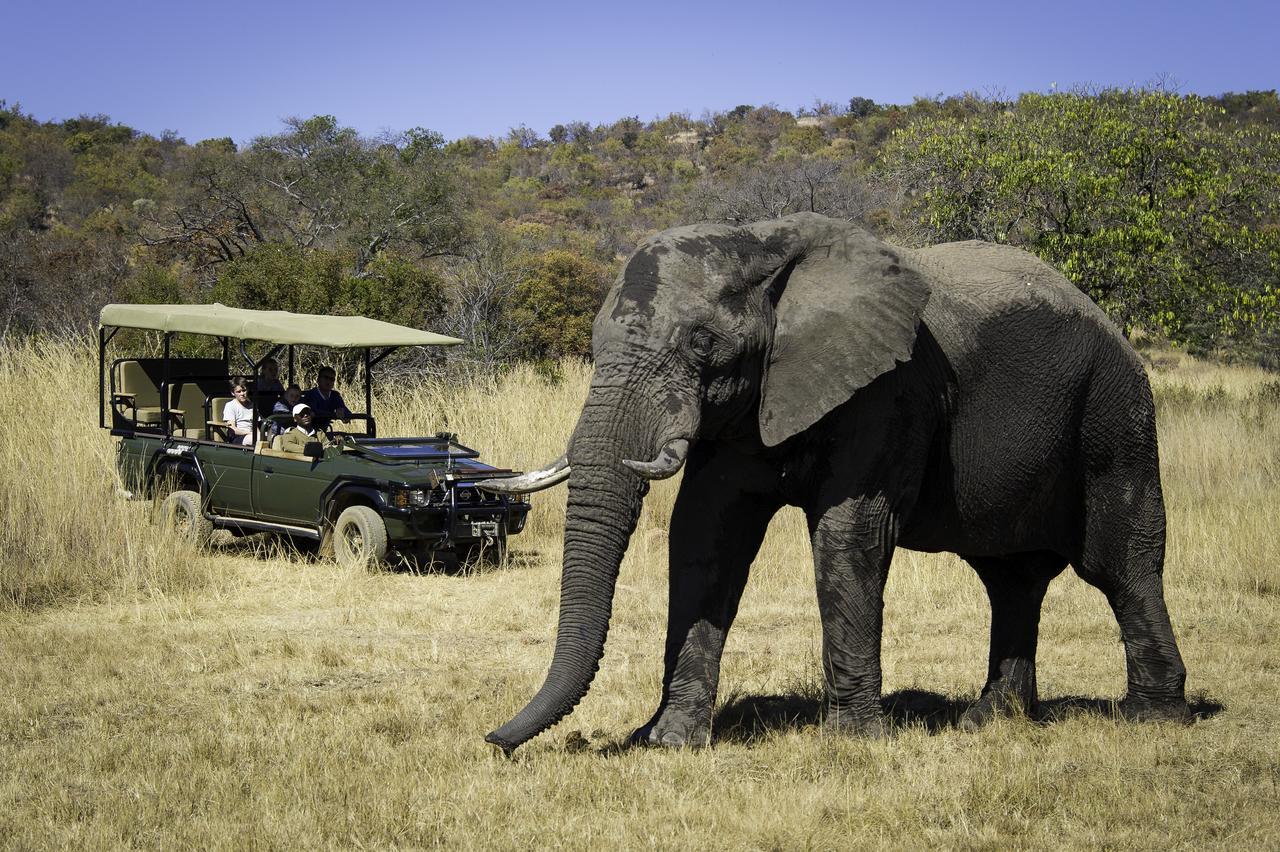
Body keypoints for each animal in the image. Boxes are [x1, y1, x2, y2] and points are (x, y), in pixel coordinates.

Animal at [481, 211, 1187, 752]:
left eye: (702, 342)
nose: (494, 740)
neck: (760, 243)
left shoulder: (889, 390)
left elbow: (850, 535)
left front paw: (852, 742)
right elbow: (707, 536)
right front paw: (669, 742)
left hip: (1115, 412)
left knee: (1118, 563)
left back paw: (1154, 718)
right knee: (1010, 578)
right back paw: (989, 721)